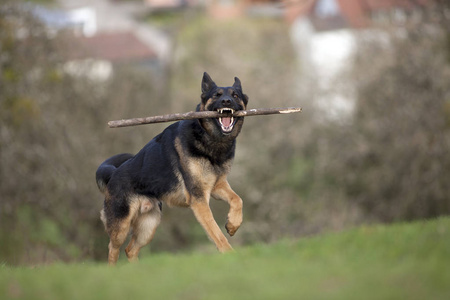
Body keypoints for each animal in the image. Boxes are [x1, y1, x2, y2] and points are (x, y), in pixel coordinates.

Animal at [96, 72, 248, 264]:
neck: (211, 139)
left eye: (235, 95)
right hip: (121, 227)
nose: (227, 101)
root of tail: (114, 173)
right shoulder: (199, 198)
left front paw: (233, 224)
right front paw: (230, 254)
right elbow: (215, 230)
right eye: (217, 95)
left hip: (149, 226)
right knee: (112, 249)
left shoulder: (217, 186)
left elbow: (238, 199)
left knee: (130, 250)